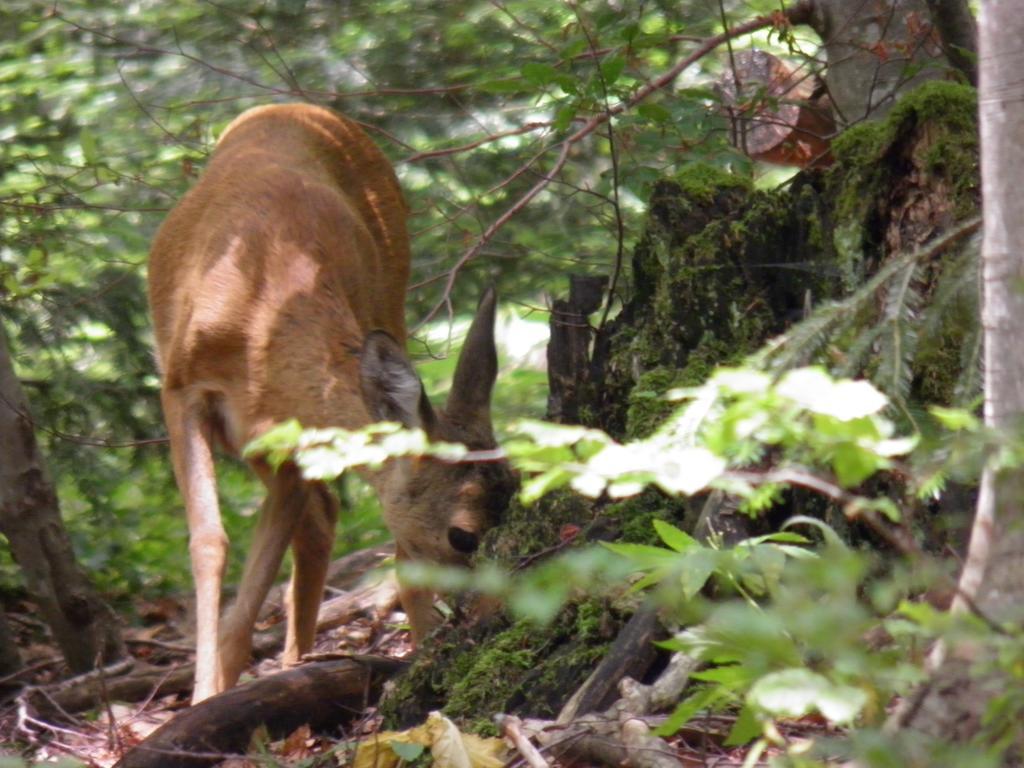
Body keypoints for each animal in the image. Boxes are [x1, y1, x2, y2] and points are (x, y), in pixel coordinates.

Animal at [148, 105, 516, 708]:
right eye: (463, 534)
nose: (499, 613)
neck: (263, 326)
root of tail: (301, 107)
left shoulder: (293, 438)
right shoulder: (181, 389)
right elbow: (209, 543)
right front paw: (203, 697)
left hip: (387, 299)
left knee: (333, 524)